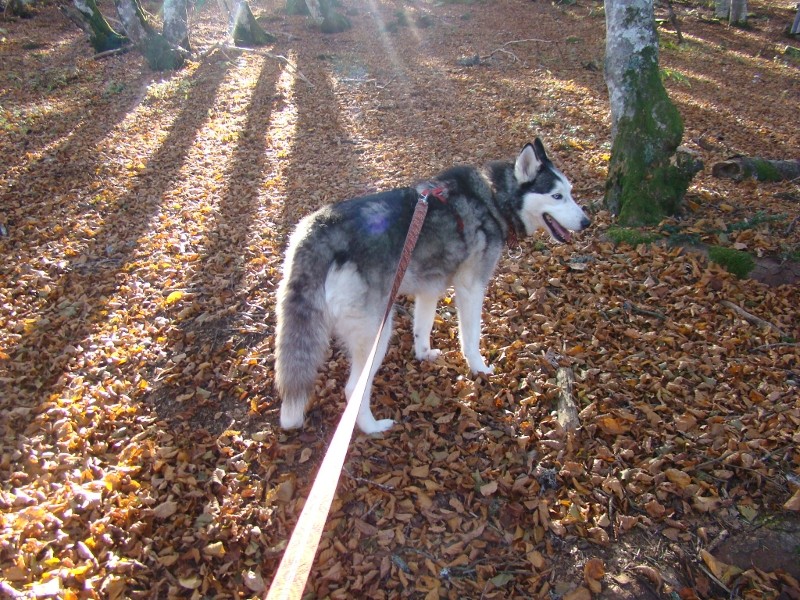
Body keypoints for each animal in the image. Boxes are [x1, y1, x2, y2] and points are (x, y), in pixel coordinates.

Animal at [278, 139, 592, 434]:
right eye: (556, 196)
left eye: (571, 192)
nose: (586, 221)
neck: (491, 198)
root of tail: (318, 228)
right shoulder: (470, 288)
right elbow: (471, 338)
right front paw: (479, 368)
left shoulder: (428, 290)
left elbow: (423, 326)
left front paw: (424, 354)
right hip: (378, 331)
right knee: (353, 388)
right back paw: (372, 427)